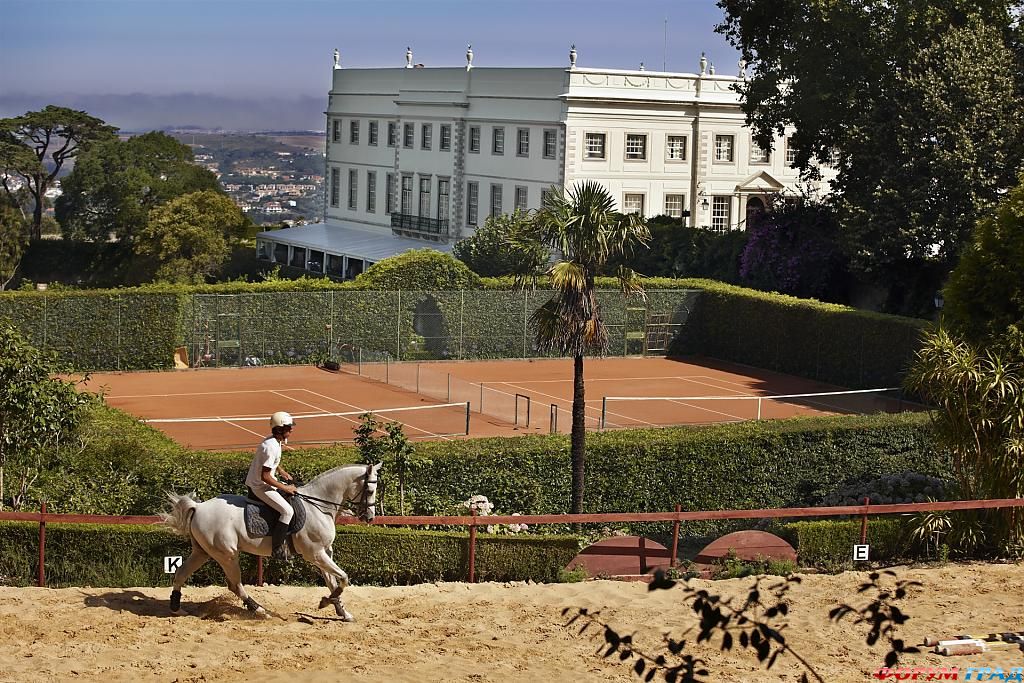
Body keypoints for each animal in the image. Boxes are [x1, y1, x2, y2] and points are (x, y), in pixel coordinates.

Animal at [161, 462, 378, 622]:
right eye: (370, 490)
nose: (370, 518)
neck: (319, 506)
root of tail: (199, 507)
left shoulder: (324, 553)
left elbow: (334, 582)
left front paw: (343, 612)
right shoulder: (315, 554)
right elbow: (343, 578)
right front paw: (325, 602)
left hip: (202, 552)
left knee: (181, 573)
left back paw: (176, 608)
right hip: (227, 555)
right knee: (235, 585)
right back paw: (259, 610)